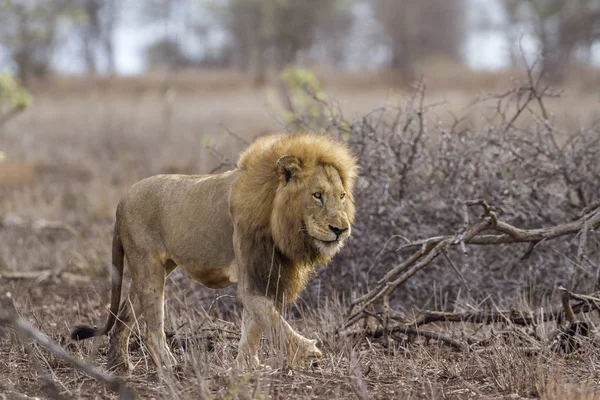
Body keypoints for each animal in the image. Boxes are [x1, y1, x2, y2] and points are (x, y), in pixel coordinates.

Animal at [72, 133, 358, 370]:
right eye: (317, 195)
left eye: (342, 196)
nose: (341, 229)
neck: (276, 218)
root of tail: (122, 201)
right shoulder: (251, 273)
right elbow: (269, 317)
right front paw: (307, 352)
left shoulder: (265, 272)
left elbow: (254, 326)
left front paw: (246, 366)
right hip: (148, 267)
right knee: (152, 329)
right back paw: (171, 367)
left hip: (154, 270)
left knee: (124, 315)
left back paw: (118, 366)